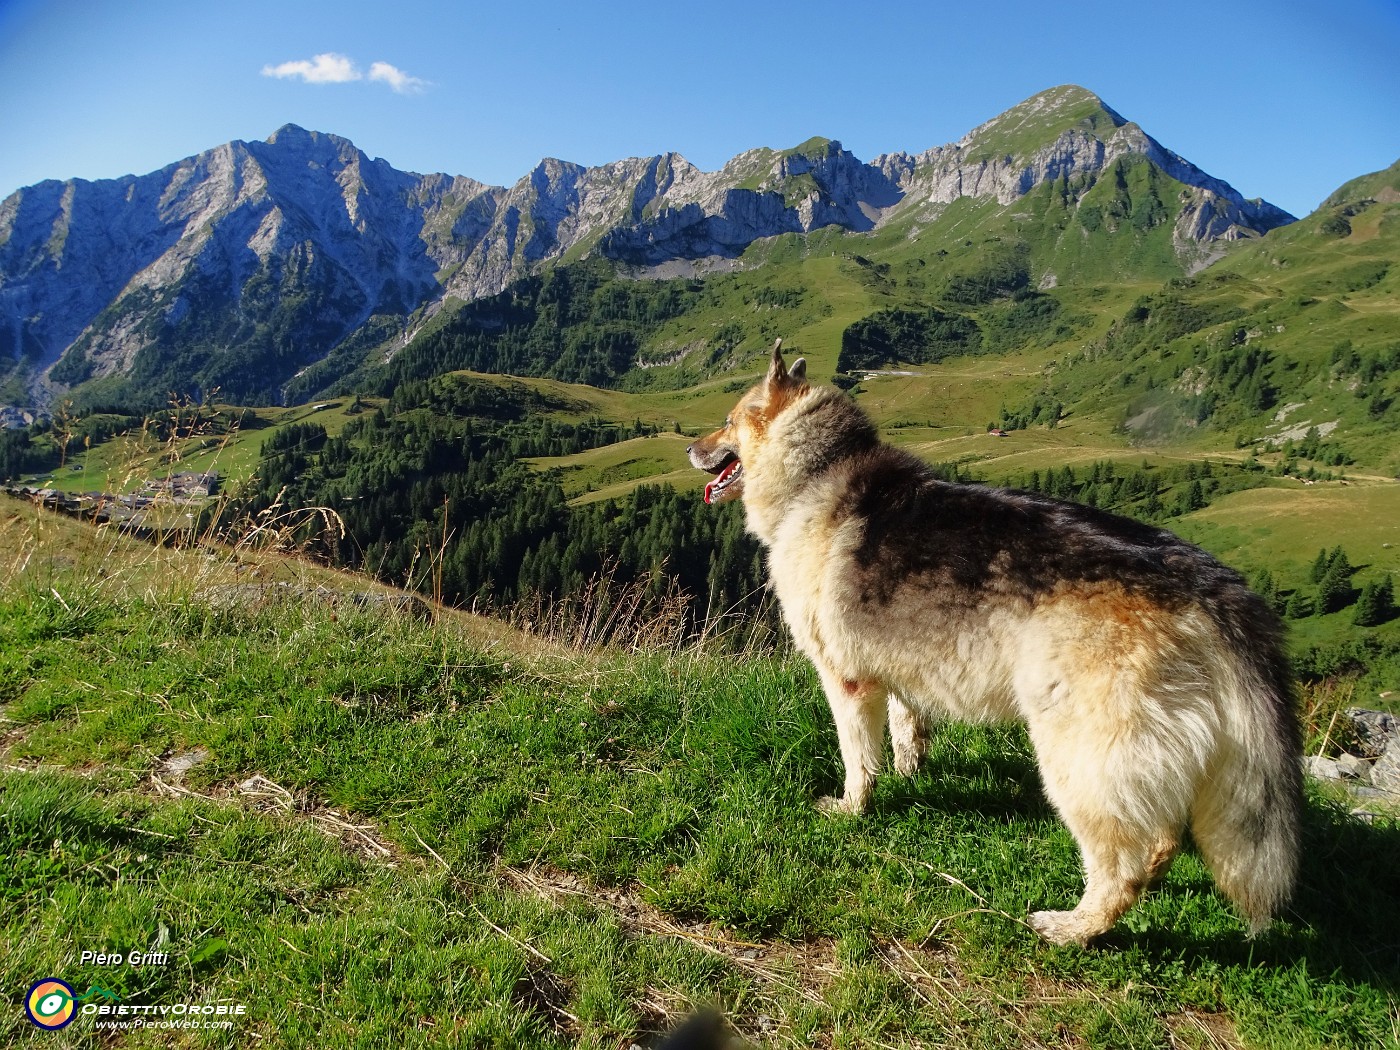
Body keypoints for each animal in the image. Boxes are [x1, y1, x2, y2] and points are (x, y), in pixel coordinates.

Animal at [688, 341, 1299, 952]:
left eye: (727, 421)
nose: (692, 448)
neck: (815, 472)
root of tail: (1209, 585)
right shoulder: (898, 670)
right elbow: (907, 729)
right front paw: (909, 773)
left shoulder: (846, 679)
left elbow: (858, 758)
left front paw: (852, 808)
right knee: (1160, 844)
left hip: (1077, 755)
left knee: (1130, 860)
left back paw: (1072, 928)